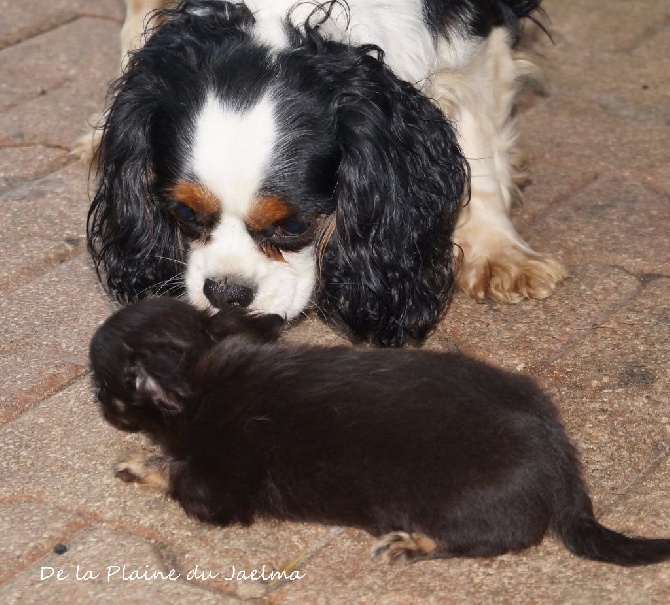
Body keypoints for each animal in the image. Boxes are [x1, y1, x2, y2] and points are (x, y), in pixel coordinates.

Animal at [84, 1, 568, 344]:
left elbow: (479, 139)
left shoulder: (475, 31)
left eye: (294, 226)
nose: (226, 295)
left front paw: (498, 251)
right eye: (184, 214)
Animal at [90, 298, 670, 568]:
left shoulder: (220, 493)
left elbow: (181, 471)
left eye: (100, 386)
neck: (203, 381)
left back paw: (410, 543)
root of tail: (563, 464)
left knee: (487, 539)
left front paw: (147, 463)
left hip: (457, 505)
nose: (94, 399)